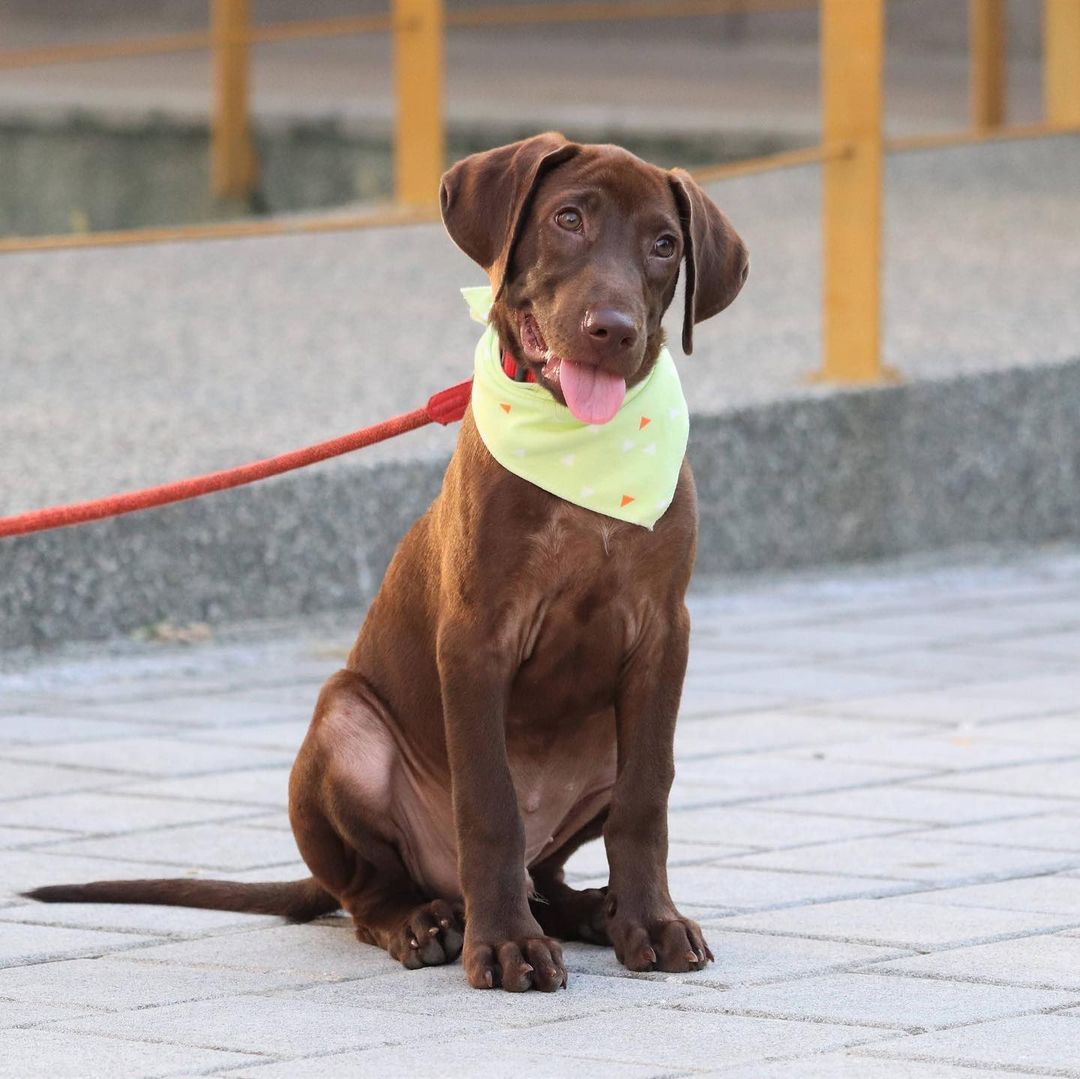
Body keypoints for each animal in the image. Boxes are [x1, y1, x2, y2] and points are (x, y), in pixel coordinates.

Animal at [27, 135, 751, 993]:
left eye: (664, 245)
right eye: (569, 218)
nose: (611, 328)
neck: (582, 454)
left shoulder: (661, 636)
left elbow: (647, 797)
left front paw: (650, 919)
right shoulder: (475, 638)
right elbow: (490, 805)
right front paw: (505, 945)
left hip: (601, 737)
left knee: (549, 871)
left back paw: (589, 912)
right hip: (347, 724)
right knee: (370, 889)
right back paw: (432, 922)